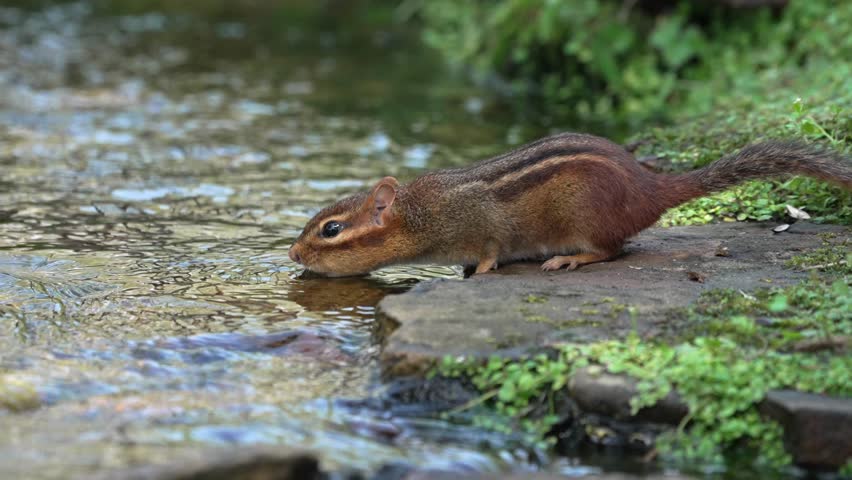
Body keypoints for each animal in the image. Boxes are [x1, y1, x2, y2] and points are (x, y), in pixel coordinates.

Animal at [288, 133, 851, 277]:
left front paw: (482, 270)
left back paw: (569, 259)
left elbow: (491, 248)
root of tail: (650, 189)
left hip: (585, 219)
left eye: (331, 230)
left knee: (614, 250)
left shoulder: (482, 222)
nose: (292, 255)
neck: (422, 213)